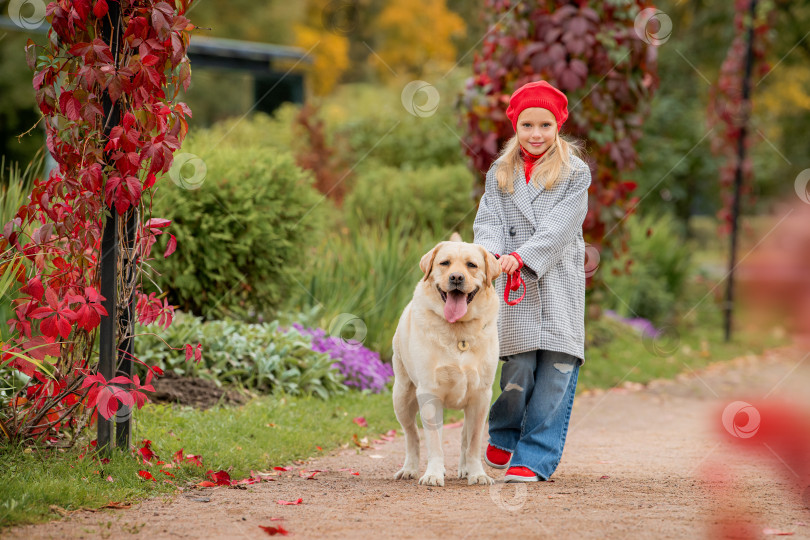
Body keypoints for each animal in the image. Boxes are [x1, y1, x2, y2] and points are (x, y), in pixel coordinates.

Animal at [392, 232, 498, 486]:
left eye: (471, 265)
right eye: (444, 263)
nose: (456, 277)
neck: (458, 331)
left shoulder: (481, 396)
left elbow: (473, 442)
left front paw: (477, 473)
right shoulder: (429, 393)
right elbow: (434, 442)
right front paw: (433, 474)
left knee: (464, 436)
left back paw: (465, 469)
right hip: (401, 396)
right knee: (412, 435)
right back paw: (409, 469)